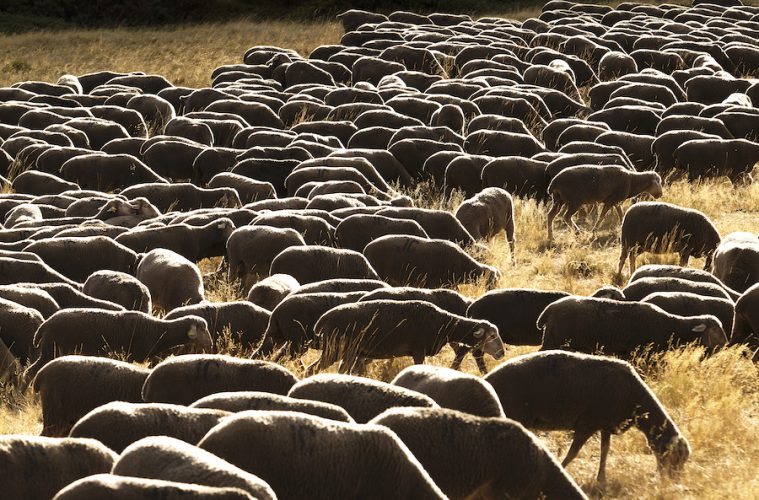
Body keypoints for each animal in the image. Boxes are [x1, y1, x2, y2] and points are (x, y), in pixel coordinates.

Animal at [25, 309, 212, 379]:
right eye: (202, 329)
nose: (210, 344)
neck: (157, 330)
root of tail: (44, 325)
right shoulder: (132, 356)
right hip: (50, 350)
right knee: (29, 373)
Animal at [309, 300, 504, 374]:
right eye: (492, 336)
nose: (502, 353)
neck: (443, 324)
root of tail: (322, 320)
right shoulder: (419, 351)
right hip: (336, 349)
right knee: (314, 369)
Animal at [485, 350, 691, 482]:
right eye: (675, 457)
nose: (673, 482)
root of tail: (488, 379)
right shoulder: (587, 424)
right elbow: (573, 453)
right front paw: (562, 469)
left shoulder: (606, 425)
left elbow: (605, 450)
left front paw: (601, 479)